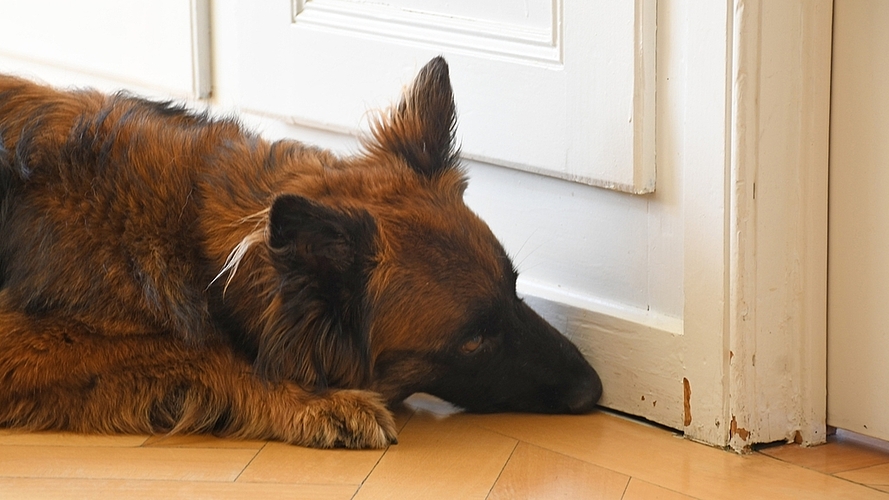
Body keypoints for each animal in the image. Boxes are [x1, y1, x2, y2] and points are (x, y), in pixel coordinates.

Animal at [0, 57, 600, 450]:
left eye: (515, 288)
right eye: (472, 341)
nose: (594, 390)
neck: (194, 242)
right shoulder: (20, 345)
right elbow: (198, 354)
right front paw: (321, 402)